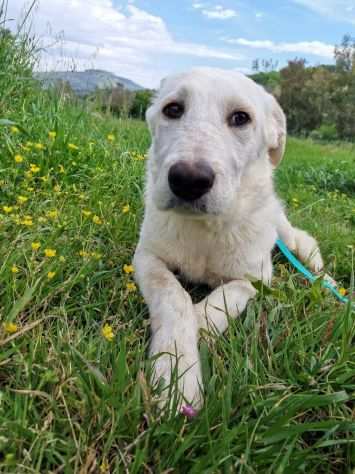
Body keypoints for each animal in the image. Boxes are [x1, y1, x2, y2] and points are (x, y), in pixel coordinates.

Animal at [133, 67, 322, 412]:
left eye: (240, 118)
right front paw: (176, 363)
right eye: (173, 109)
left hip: (287, 235)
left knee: (302, 245)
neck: (205, 229)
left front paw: (187, 352)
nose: (188, 180)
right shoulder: (147, 257)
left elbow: (219, 301)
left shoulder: (255, 279)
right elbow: (174, 296)